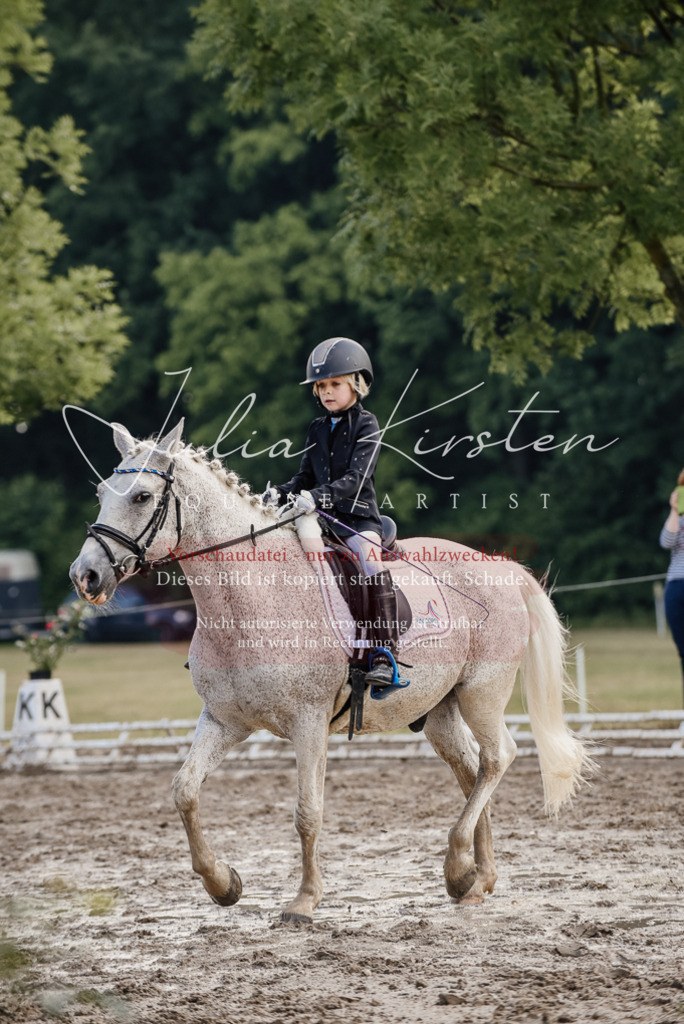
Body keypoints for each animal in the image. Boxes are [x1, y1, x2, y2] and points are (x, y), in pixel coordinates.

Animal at [69, 419, 593, 923]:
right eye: (100, 493)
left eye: (141, 496)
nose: (85, 576)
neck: (253, 596)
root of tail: (499, 566)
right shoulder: (223, 721)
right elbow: (184, 791)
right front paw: (222, 883)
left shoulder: (309, 722)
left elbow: (308, 813)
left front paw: (303, 902)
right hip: (439, 709)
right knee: (470, 769)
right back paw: (474, 879)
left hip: (481, 693)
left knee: (498, 757)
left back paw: (458, 863)